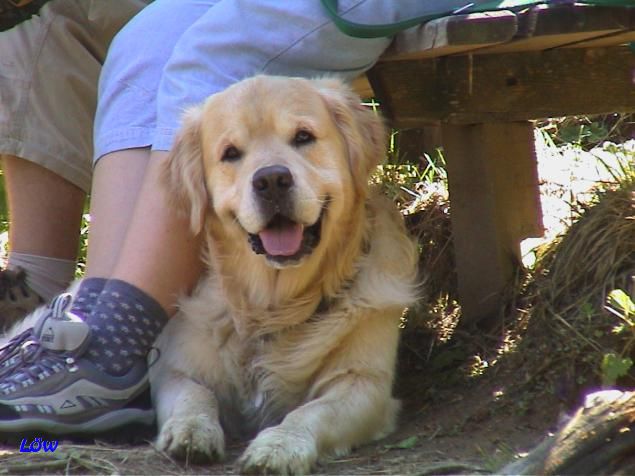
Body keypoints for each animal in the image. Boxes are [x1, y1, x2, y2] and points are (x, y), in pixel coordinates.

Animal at [152, 74, 420, 472]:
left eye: (303, 136)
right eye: (231, 153)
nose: (272, 180)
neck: (275, 306)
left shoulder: (363, 382)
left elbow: (311, 412)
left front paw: (280, 445)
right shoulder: (172, 367)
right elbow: (195, 393)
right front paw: (191, 429)